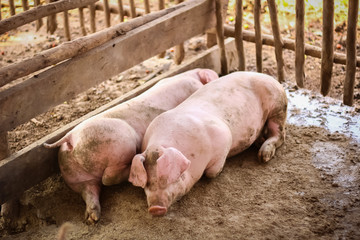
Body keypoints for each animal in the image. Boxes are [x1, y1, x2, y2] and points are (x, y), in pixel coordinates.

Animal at [43, 68, 218, 224]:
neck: (191, 75)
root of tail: (71, 137)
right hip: (120, 143)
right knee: (108, 178)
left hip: (75, 176)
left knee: (90, 190)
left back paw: (92, 219)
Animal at [129, 71, 286, 216]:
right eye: (147, 183)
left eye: (168, 177)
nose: (155, 208)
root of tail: (266, 76)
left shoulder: (224, 136)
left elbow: (212, 172)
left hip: (278, 105)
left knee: (279, 135)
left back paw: (263, 156)